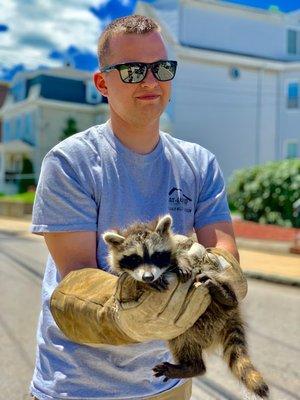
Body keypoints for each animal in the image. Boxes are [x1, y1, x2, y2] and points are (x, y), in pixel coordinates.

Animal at [103, 214, 270, 398]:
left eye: (156, 255)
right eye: (134, 258)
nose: (148, 277)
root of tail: (228, 315)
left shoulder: (180, 243)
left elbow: (182, 250)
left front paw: (181, 261)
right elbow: (129, 280)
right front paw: (144, 284)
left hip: (216, 281)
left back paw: (226, 296)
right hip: (189, 325)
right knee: (181, 339)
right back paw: (193, 366)